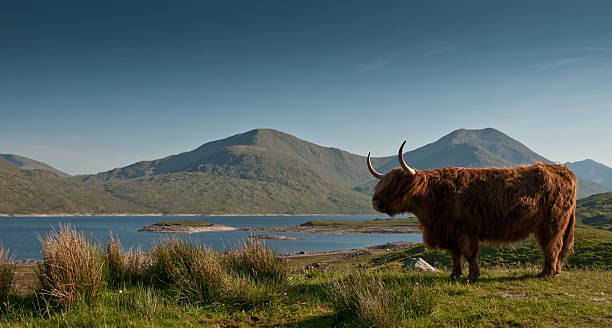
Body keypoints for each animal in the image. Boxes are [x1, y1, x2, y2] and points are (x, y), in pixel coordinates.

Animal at [368, 142, 580, 280]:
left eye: (395, 184)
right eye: (382, 182)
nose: (375, 202)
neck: (436, 194)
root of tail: (563, 170)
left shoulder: (466, 229)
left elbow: (469, 254)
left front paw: (472, 276)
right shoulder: (449, 231)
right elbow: (455, 255)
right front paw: (454, 274)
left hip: (552, 224)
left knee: (552, 246)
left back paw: (546, 274)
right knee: (553, 248)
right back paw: (555, 271)